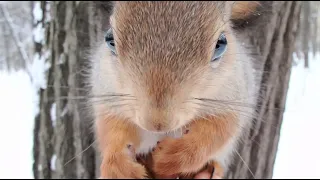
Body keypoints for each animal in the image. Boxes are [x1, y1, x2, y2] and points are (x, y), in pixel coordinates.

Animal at [88, 1, 262, 179]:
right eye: (110, 39)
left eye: (221, 44)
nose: (157, 122)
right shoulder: (108, 94)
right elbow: (112, 128)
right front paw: (118, 164)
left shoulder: (234, 96)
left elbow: (216, 131)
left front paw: (176, 154)